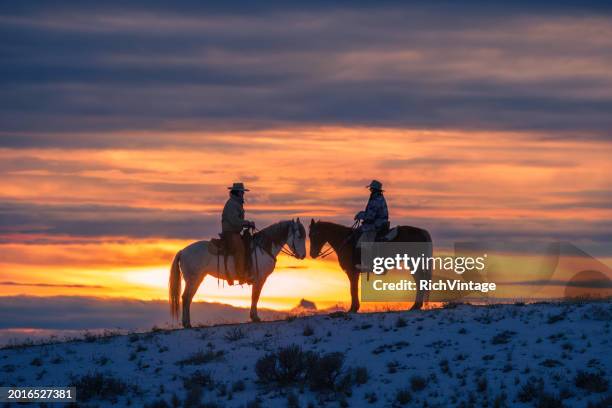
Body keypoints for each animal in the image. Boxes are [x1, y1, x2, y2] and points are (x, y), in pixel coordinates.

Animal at [169, 218, 304, 326]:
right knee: (186, 297)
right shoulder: (260, 279)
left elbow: (255, 296)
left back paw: (187, 323)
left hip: (197, 278)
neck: (263, 248)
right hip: (193, 279)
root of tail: (182, 251)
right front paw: (255, 317)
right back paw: (187, 324)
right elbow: (255, 296)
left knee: (188, 298)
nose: (302, 256)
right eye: (299, 236)